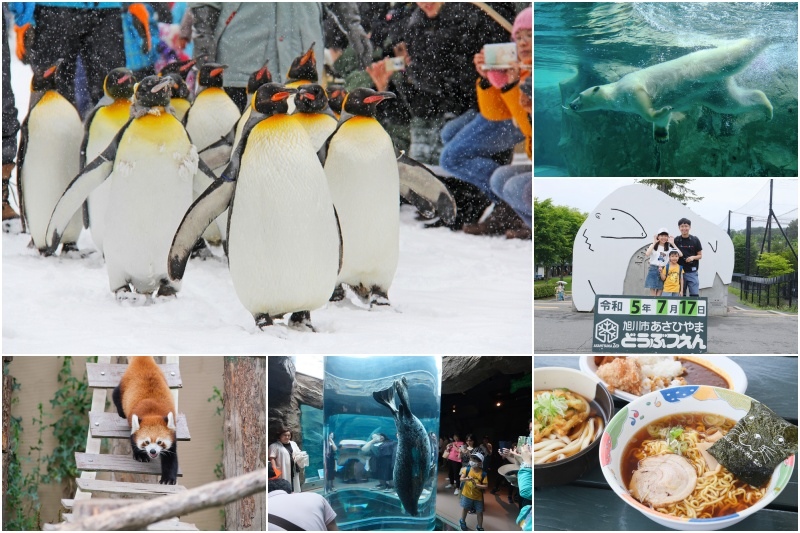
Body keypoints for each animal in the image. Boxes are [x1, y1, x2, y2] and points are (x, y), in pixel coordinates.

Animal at [111, 356, 179, 484]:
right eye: (146, 442)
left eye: (159, 442)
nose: (152, 451)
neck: (152, 414)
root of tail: (143, 360)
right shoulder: (134, 423)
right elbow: (133, 439)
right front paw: (140, 455)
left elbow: (170, 458)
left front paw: (168, 479)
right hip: (125, 384)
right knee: (116, 393)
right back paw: (121, 411)